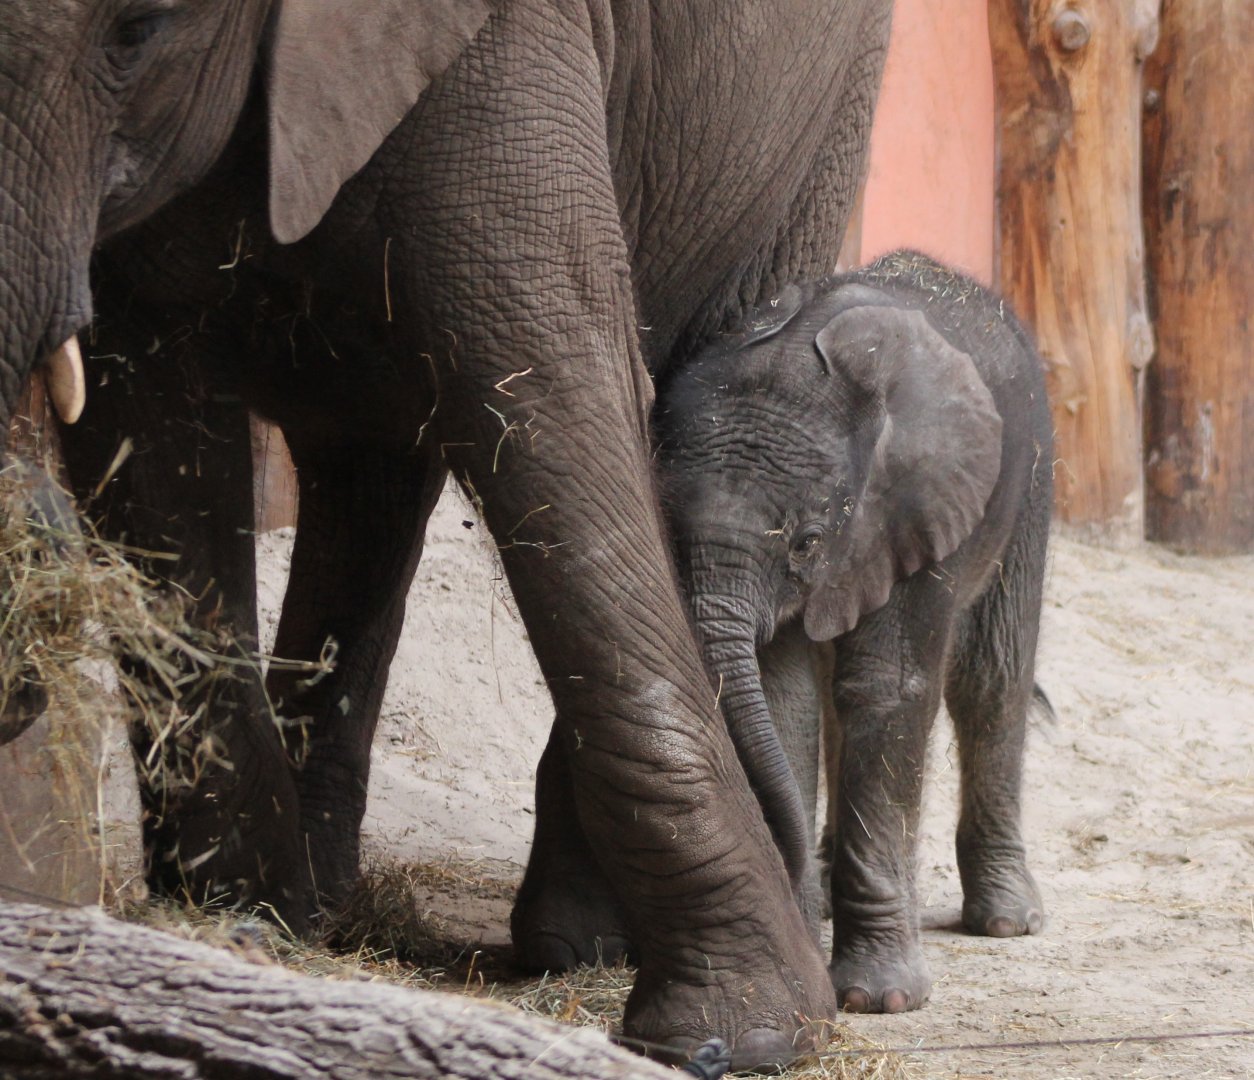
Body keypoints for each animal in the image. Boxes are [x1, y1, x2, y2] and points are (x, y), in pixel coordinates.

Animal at [0, 0, 894, 1067]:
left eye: (137, 31)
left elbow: (552, 385)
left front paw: (742, 1035)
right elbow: (150, 433)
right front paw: (243, 928)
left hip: (825, 120)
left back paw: (573, 943)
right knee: (367, 470)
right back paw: (329, 909)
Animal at [655, 250, 1053, 1014]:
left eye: (807, 542)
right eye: (668, 525)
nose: (799, 915)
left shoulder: (917, 507)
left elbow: (886, 691)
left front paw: (878, 998)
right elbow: (783, 696)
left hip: (1032, 477)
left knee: (991, 678)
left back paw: (1007, 921)